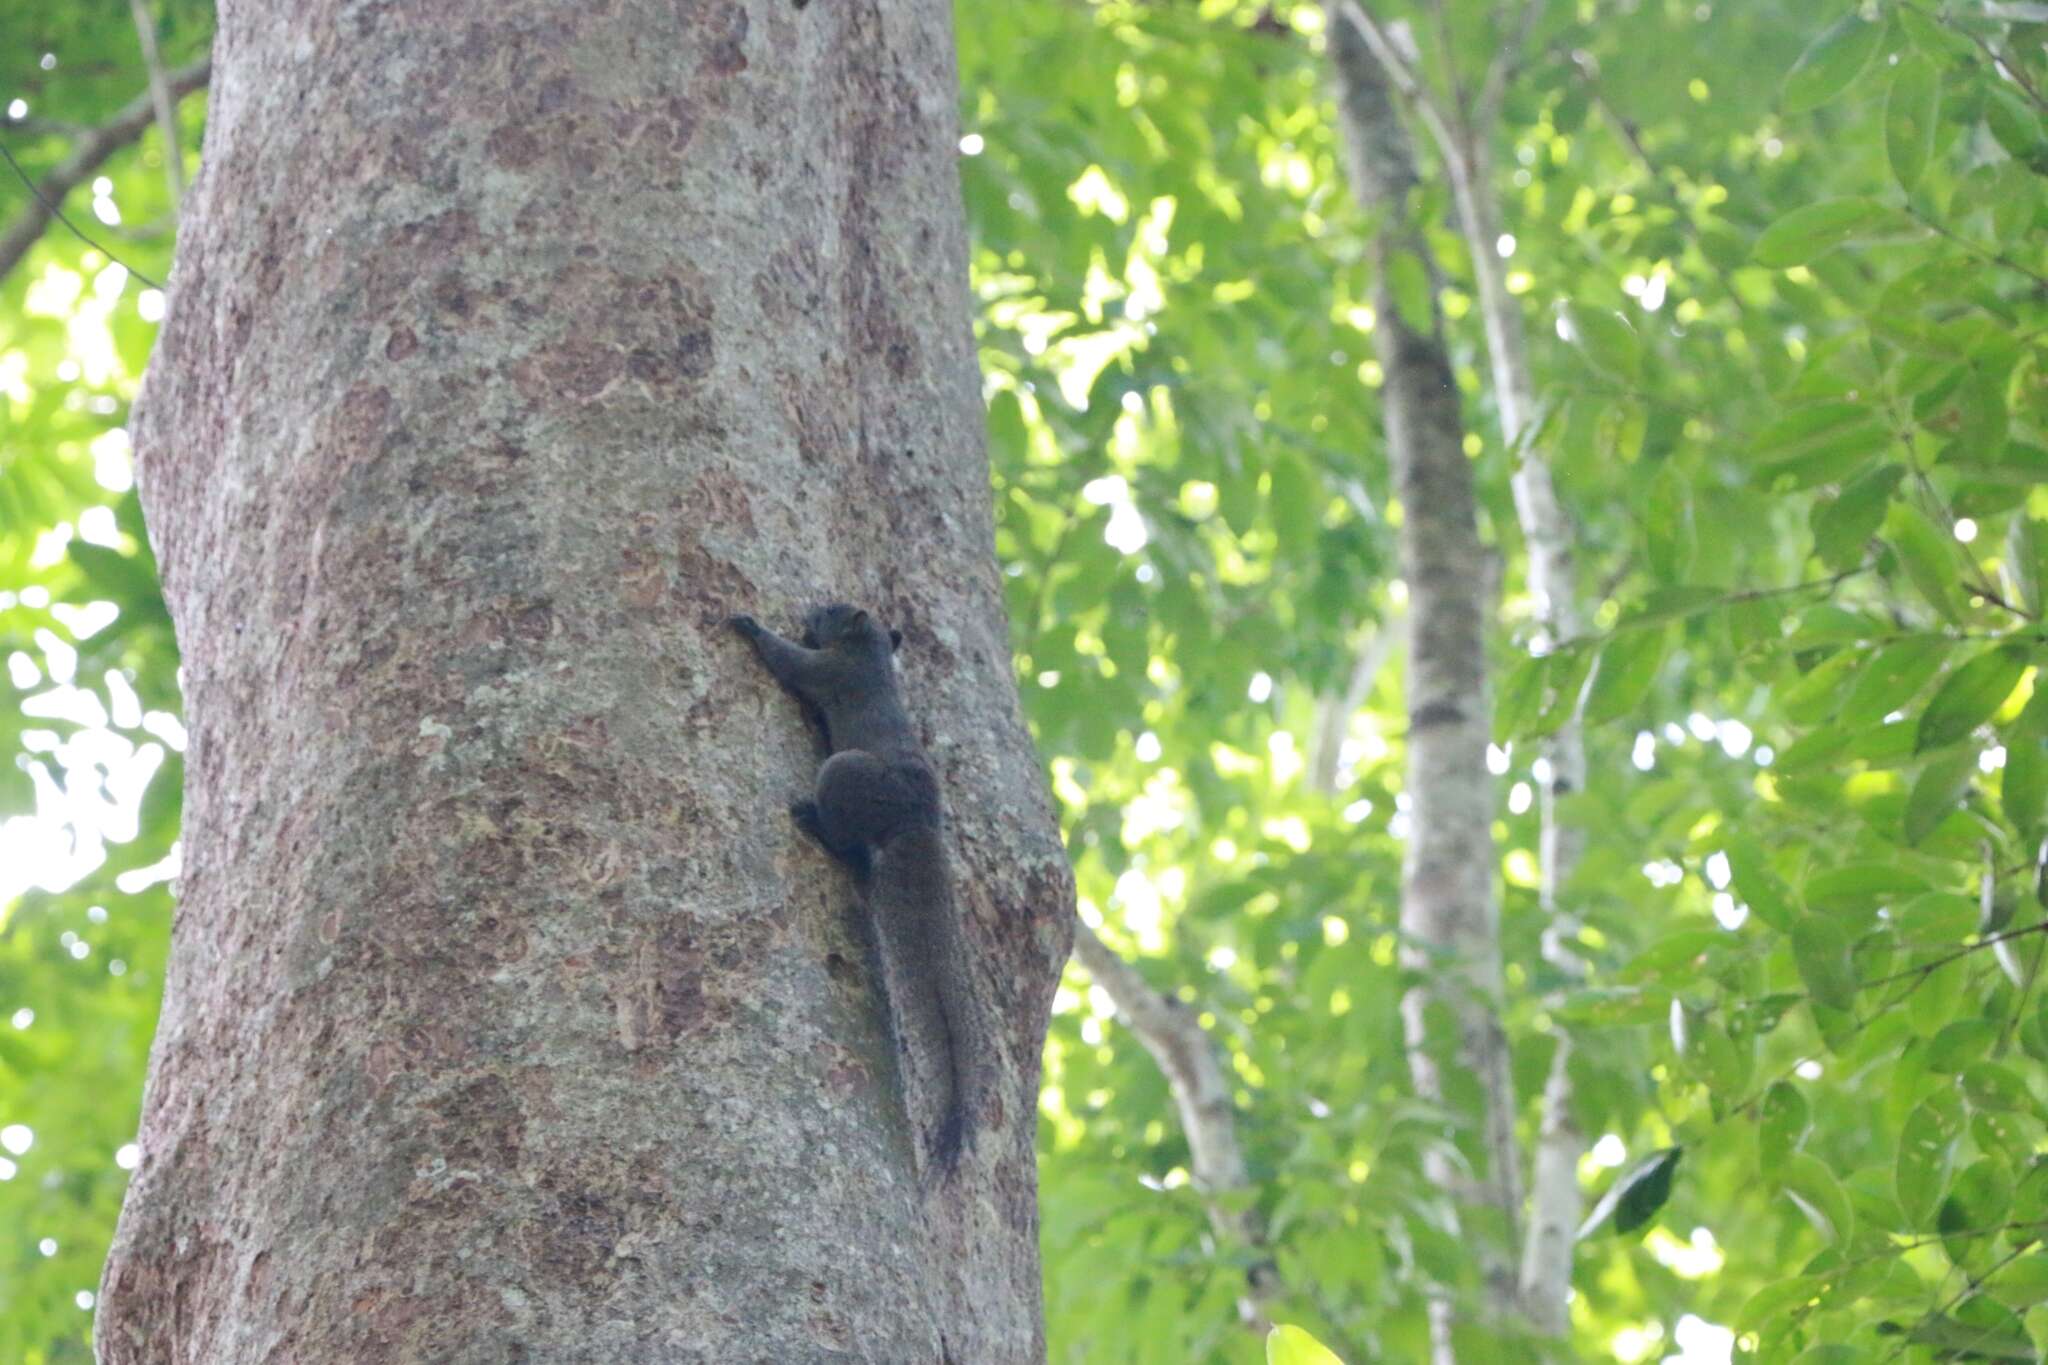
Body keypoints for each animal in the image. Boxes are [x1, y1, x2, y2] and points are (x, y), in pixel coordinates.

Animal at [733, 609, 978, 1178]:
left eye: (832, 612)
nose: (810, 611)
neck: (872, 654)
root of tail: (915, 822)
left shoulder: (829, 670)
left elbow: (789, 663)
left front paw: (749, 626)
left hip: (847, 775)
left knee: (847, 844)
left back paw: (817, 826)